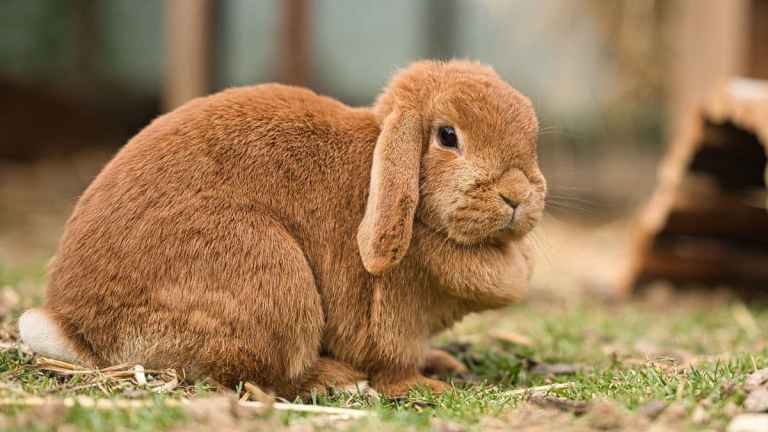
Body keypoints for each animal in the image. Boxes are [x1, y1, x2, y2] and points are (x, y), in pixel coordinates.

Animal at [19, 60, 546, 398]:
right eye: (448, 136)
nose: (517, 195)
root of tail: (76, 328)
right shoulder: (390, 319)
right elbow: (392, 363)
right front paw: (424, 385)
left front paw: (442, 363)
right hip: (271, 277)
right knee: (260, 376)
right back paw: (337, 379)